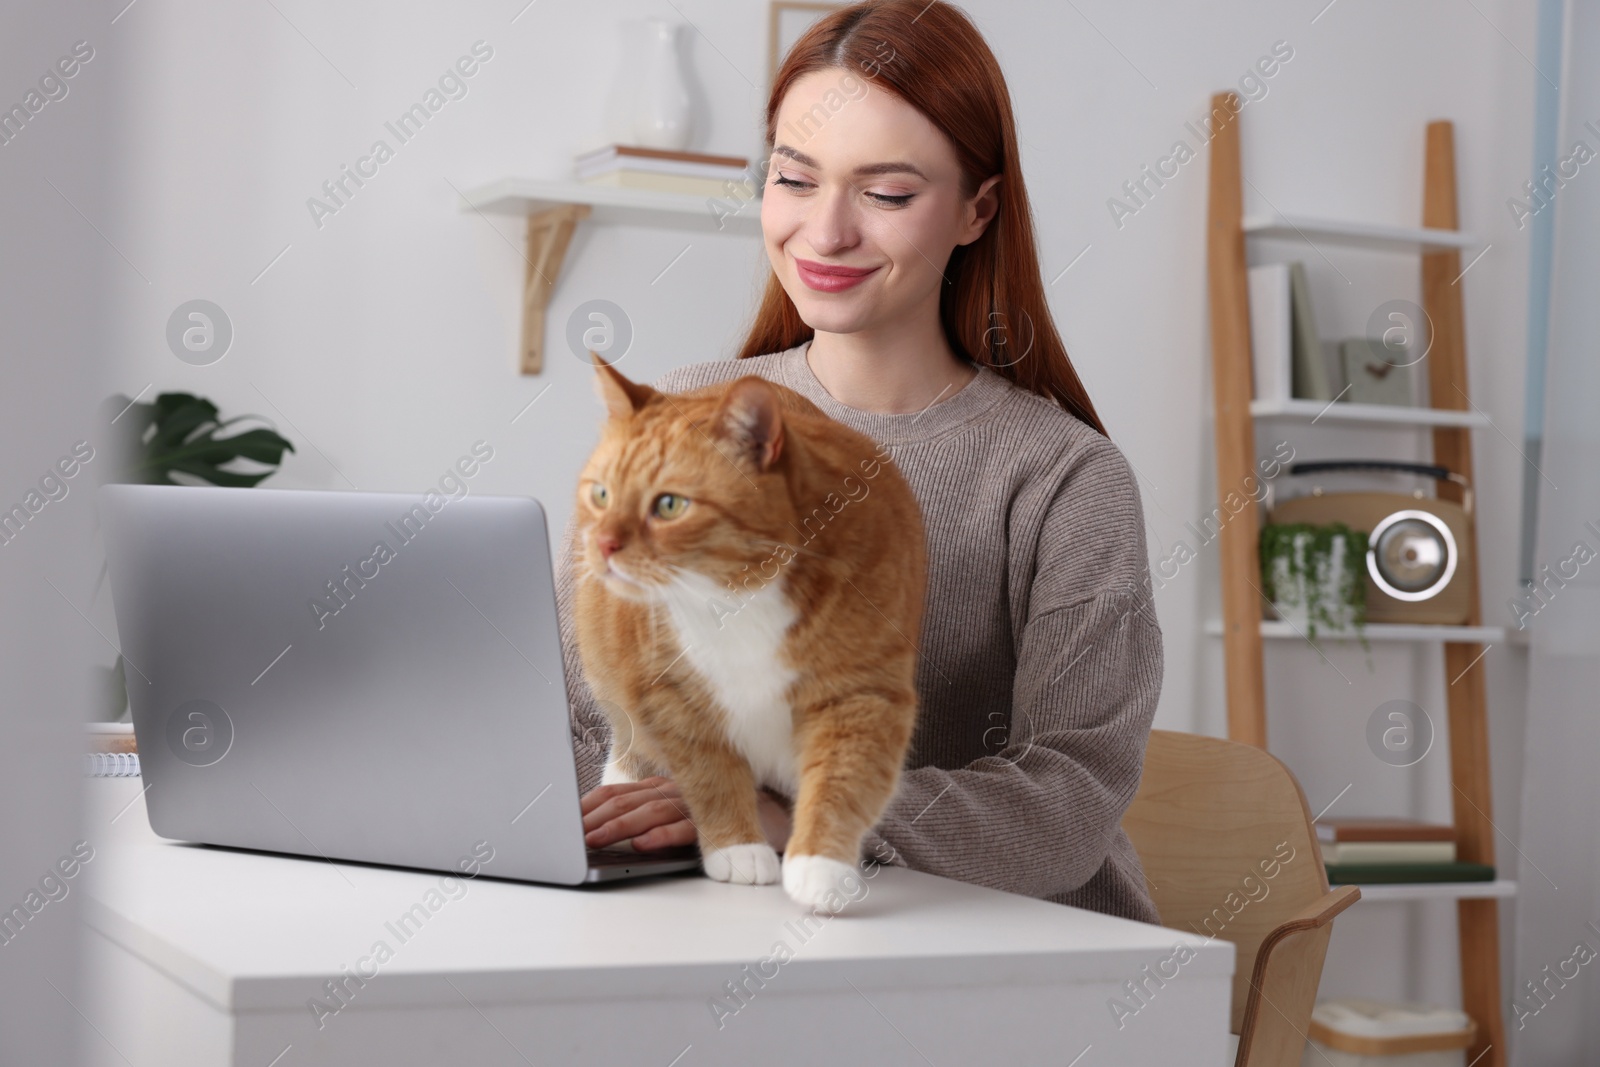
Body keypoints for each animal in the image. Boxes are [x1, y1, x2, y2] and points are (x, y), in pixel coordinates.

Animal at [576, 358, 928, 908]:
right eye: (602, 494)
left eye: (669, 505)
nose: (605, 543)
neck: (738, 600)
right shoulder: (670, 696)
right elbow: (713, 776)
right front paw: (738, 849)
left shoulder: (862, 693)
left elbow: (844, 777)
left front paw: (820, 866)